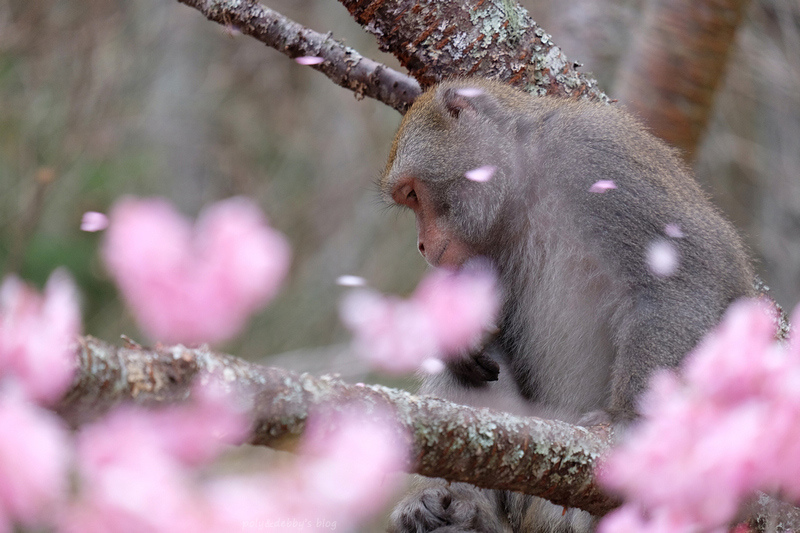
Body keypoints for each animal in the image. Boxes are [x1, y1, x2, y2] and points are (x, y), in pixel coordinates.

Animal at [382, 79, 756, 532]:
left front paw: (628, 420)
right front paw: (456, 338)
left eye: (414, 194)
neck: (523, 188)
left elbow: (685, 278)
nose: (421, 245)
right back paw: (461, 511)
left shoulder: (594, 155)